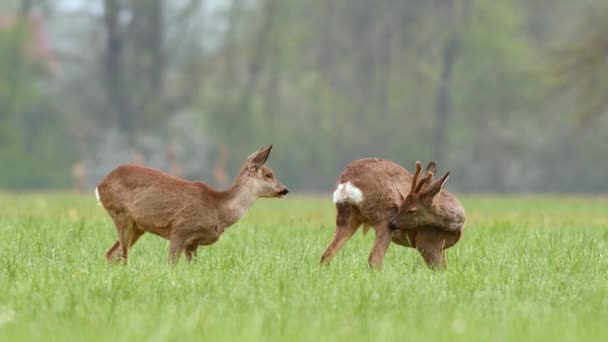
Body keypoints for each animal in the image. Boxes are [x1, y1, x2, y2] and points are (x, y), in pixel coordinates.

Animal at [96, 144, 288, 264]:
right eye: (269, 174)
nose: (285, 190)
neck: (218, 209)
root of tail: (100, 185)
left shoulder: (193, 243)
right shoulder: (180, 230)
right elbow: (170, 265)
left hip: (138, 226)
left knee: (111, 254)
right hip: (121, 214)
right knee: (122, 256)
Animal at [320, 160, 464, 270]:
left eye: (411, 209)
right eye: (405, 205)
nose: (394, 223)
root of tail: (347, 183)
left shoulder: (440, 248)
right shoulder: (426, 241)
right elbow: (439, 270)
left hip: (346, 216)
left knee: (326, 255)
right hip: (384, 215)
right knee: (374, 261)